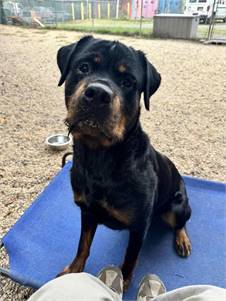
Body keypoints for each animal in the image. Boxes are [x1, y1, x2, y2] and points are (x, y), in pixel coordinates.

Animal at [56, 36, 191, 290]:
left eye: (128, 82)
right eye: (83, 67)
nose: (98, 93)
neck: (100, 158)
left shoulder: (138, 227)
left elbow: (130, 257)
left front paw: (122, 282)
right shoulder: (87, 211)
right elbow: (83, 245)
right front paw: (74, 269)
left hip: (177, 206)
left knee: (180, 222)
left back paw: (182, 239)